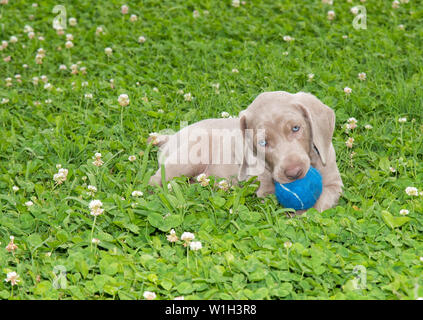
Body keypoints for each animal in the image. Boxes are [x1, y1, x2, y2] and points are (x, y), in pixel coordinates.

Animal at [149, 91, 344, 212]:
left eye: (296, 128)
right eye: (263, 142)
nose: (294, 173)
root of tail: (171, 137)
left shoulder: (335, 184)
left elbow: (322, 201)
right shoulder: (264, 189)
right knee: (156, 179)